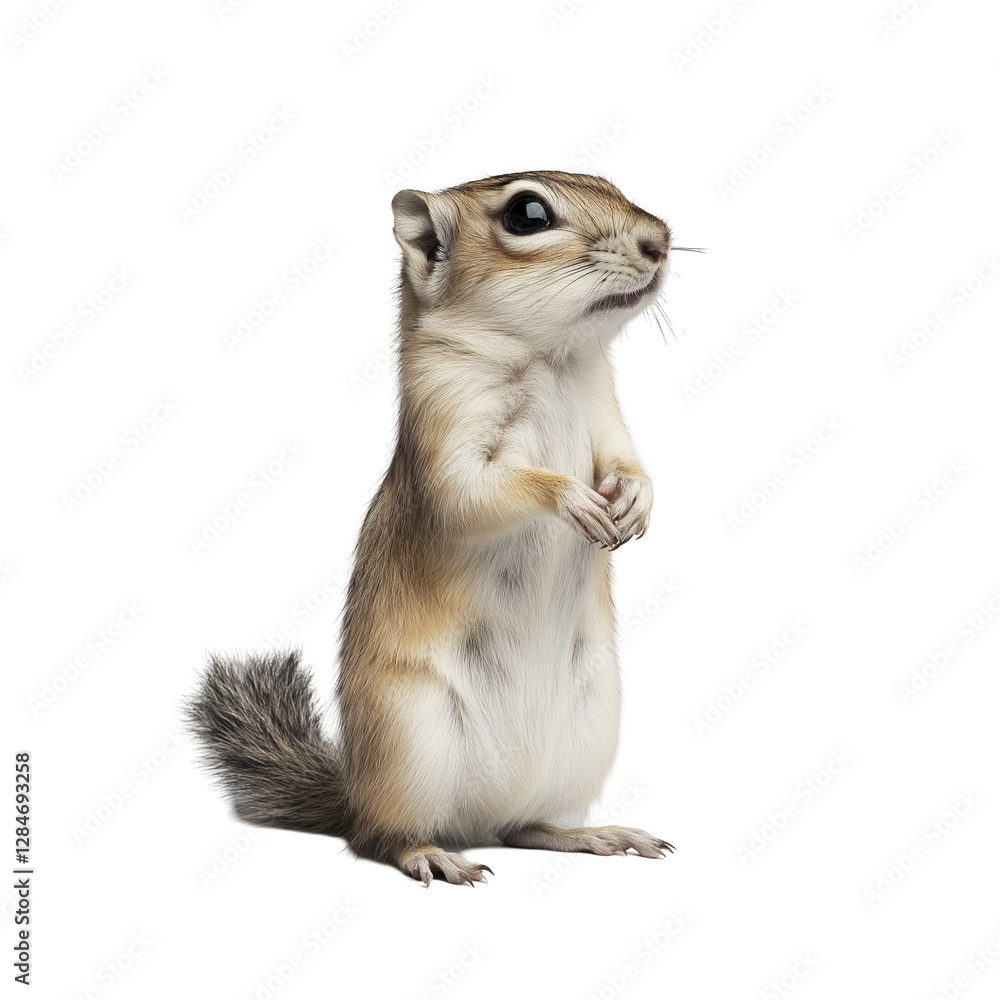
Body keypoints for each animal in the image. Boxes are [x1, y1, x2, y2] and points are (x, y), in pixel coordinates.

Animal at [185, 170, 675, 886]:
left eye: (609, 180)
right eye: (528, 215)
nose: (659, 241)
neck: (551, 362)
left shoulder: (606, 417)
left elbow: (629, 462)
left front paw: (636, 502)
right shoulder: (447, 438)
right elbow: (478, 491)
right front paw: (572, 500)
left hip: (585, 735)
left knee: (524, 826)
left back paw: (592, 834)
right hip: (412, 737)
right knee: (379, 837)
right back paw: (432, 856)